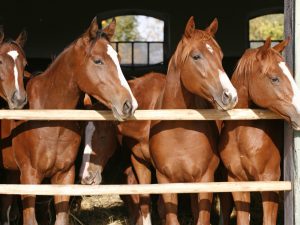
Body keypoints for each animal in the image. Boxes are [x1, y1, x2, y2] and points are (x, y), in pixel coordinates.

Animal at [1, 18, 138, 225]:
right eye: (98, 60)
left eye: (119, 59)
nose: (129, 104)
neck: (50, 122)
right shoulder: (30, 176)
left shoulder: (64, 176)